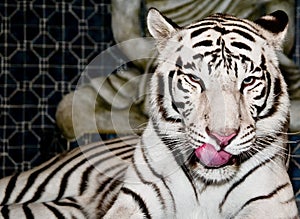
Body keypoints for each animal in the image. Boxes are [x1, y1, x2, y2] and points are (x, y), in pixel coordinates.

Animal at [0, 7, 296, 218]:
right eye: (195, 79)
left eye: (248, 81)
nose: (222, 137)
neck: (207, 183)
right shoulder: (139, 197)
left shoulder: (270, 204)